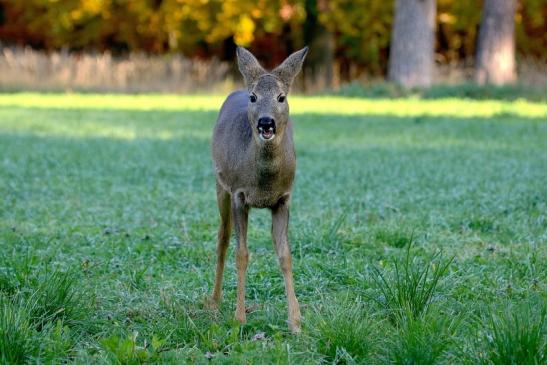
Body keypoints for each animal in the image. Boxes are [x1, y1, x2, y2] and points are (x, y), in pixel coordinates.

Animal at [210, 46, 308, 332]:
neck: (263, 183)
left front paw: (295, 322)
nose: (266, 122)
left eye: (281, 97)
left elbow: (286, 256)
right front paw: (239, 318)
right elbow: (241, 254)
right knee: (222, 238)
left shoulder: (284, 199)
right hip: (219, 184)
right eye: (254, 97)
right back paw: (214, 302)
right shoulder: (238, 194)